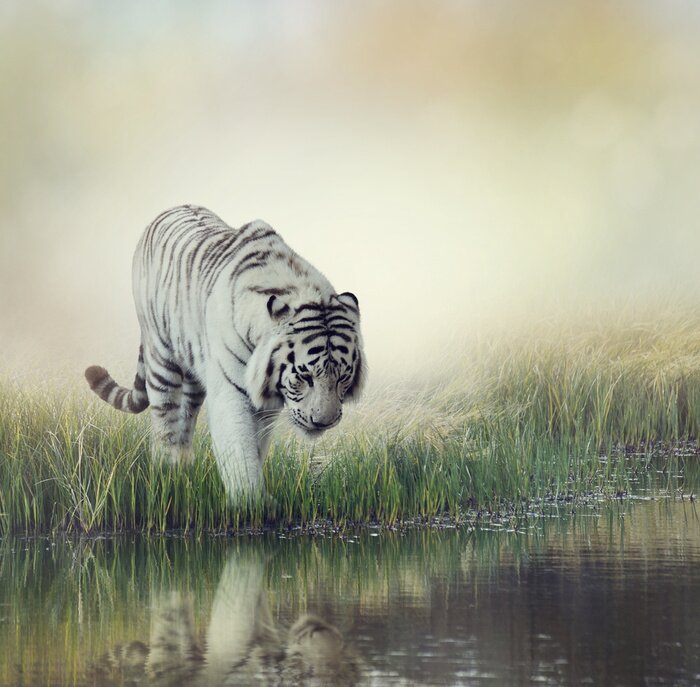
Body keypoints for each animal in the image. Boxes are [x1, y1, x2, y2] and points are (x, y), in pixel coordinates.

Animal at [85, 205, 365, 499]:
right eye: (304, 376)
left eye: (343, 377)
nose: (323, 423)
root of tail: (169, 210)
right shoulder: (231, 391)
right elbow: (239, 448)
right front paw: (250, 501)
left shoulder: (265, 403)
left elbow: (256, 445)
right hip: (161, 357)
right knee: (165, 419)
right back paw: (166, 470)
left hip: (195, 373)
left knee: (186, 417)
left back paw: (184, 466)